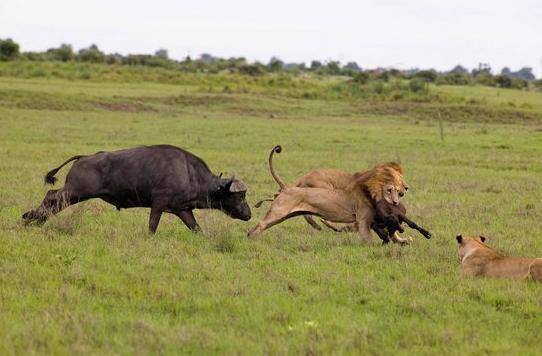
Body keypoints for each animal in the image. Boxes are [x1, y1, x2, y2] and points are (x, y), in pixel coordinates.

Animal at [22, 145, 253, 234]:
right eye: (240, 196)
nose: (249, 215)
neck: (189, 173)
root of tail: (84, 157)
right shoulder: (158, 204)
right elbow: (152, 226)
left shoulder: (183, 210)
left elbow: (197, 229)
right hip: (76, 192)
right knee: (52, 196)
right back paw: (29, 218)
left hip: (74, 194)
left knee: (54, 202)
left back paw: (36, 221)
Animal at [249, 145, 406, 242]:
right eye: (389, 190)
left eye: (397, 191)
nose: (396, 202)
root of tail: (287, 187)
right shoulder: (362, 220)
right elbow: (368, 238)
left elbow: (393, 234)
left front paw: (403, 241)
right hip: (279, 212)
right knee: (260, 225)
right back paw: (251, 238)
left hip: (283, 215)